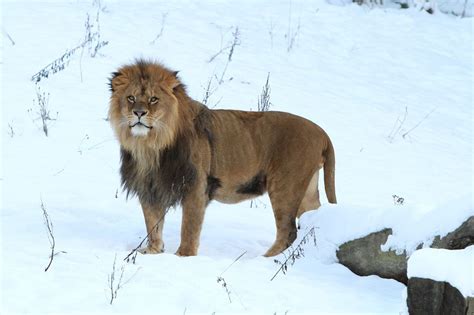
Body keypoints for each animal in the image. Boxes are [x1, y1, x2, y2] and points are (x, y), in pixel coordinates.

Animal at [108, 60, 336, 258]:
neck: (150, 146)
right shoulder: (149, 187)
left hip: (284, 187)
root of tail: (322, 132)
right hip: (307, 191)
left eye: (154, 99)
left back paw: (263, 260)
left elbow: (189, 228)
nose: (138, 113)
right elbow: (152, 223)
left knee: (288, 231)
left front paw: (183, 257)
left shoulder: (195, 187)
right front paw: (152, 251)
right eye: (130, 98)